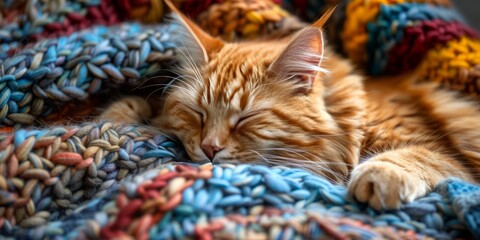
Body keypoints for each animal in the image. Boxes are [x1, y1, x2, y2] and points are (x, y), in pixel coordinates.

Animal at [98, 0, 480, 209]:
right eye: (197, 113)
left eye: (247, 118)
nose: (209, 149)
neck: (347, 117)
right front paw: (120, 116)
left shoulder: (446, 153)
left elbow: (417, 156)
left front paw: (380, 174)